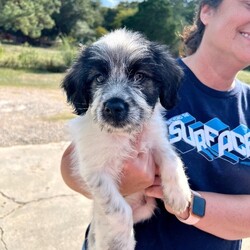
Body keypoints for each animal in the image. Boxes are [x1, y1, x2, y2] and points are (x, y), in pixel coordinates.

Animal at [62, 29, 191, 250]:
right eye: (98, 78)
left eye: (139, 76)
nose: (114, 106)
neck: (123, 135)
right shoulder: (95, 172)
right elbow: (118, 209)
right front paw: (120, 243)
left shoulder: (156, 141)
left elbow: (172, 158)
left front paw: (180, 194)